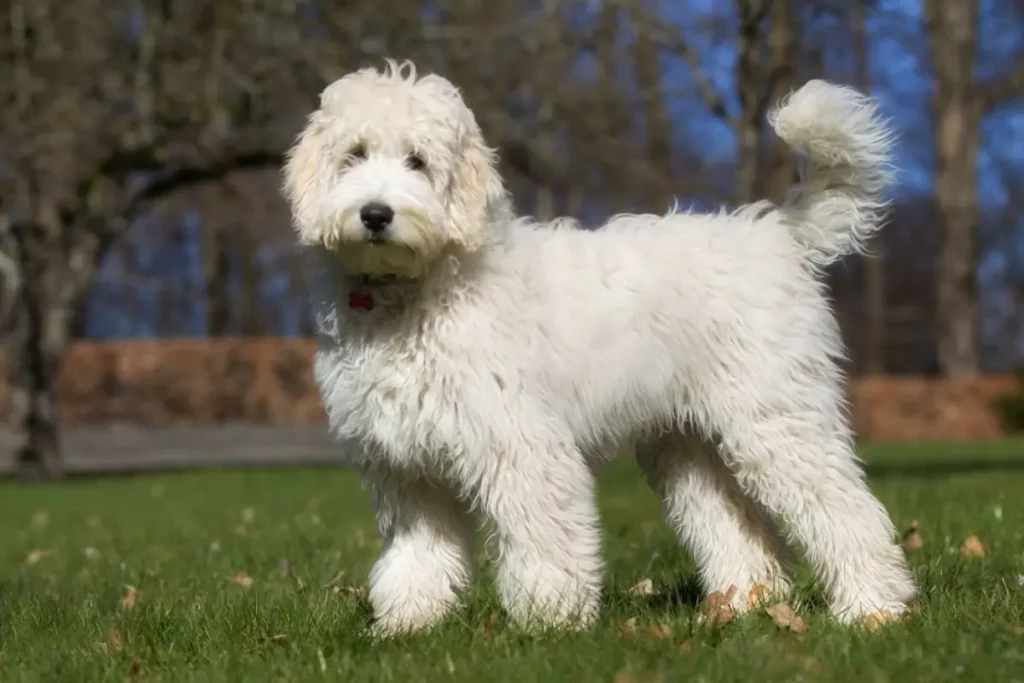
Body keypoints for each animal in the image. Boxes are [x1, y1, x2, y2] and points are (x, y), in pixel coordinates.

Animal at [284, 58, 917, 634]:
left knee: (846, 509)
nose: (376, 214)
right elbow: (418, 553)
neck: (413, 290)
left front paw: (550, 619)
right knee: (738, 528)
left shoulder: (522, 446)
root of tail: (776, 233)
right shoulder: (408, 470)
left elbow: (544, 538)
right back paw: (741, 606)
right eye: (354, 155)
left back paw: (871, 609)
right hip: (689, 446)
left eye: (417, 160)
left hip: (777, 419)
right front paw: (407, 623)